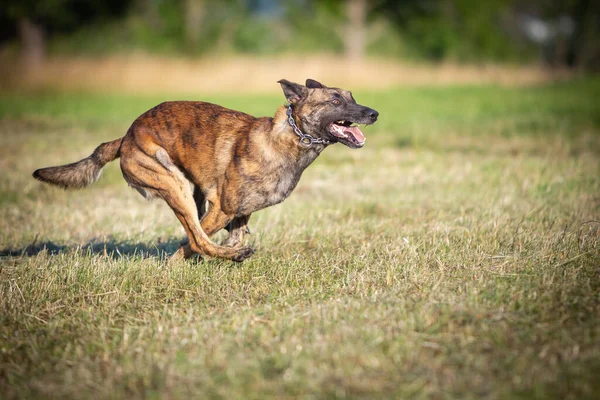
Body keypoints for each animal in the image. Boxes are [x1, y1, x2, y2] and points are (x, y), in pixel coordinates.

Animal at [31, 79, 380, 260]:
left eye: (351, 97)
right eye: (335, 101)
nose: (374, 113)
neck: (289, 139)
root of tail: (126, 136)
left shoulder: (238, 214)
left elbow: (232, 236)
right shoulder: (222, 208)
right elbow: (192, 243)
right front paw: (176, 268)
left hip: (188, 193)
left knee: (198, 234)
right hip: (174, 185)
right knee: (197, 238)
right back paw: (230, 257)